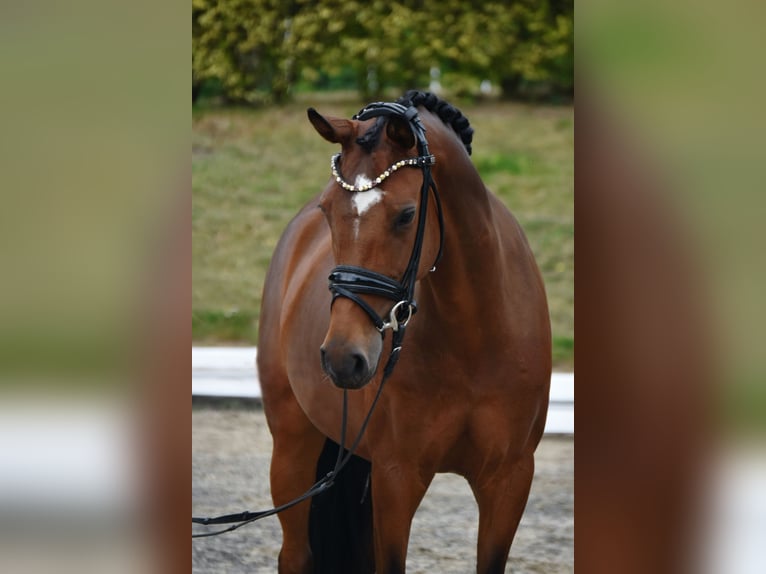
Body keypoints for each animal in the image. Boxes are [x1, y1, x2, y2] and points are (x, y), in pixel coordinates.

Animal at [257, 91, 551, 574]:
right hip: (292, 447)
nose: (343, 358)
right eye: (328, 211)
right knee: (295, 554)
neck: (476, 336)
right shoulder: (397, 476)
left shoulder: (509, 479)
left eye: (407, 215)